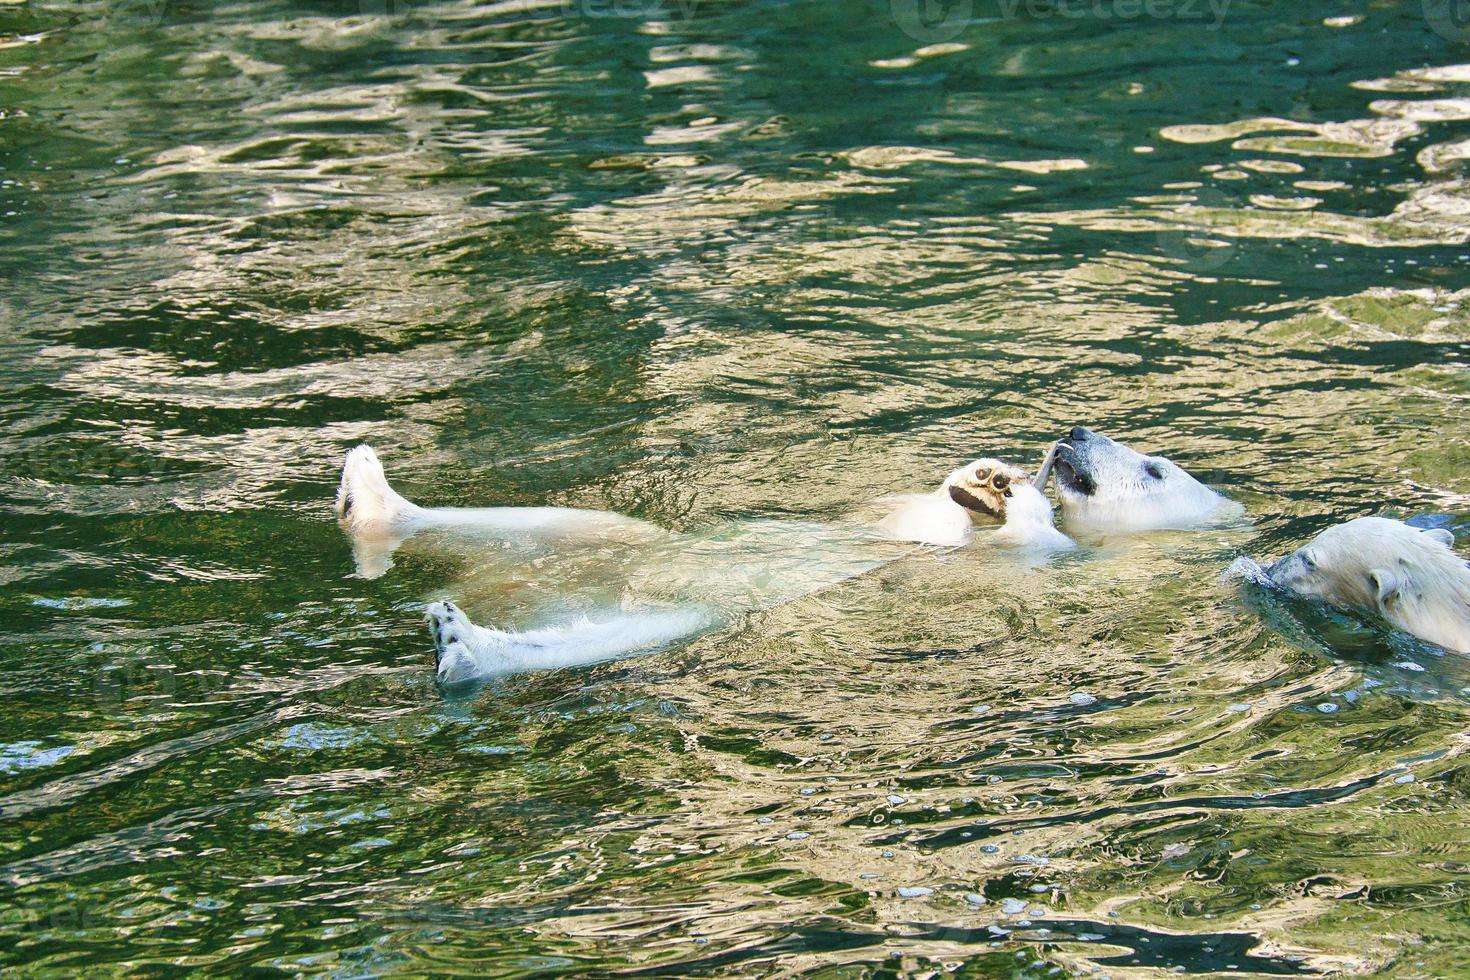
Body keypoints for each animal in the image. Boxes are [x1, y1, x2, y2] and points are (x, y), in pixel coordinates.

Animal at [336, 443, 1070, 681]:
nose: (993, 479)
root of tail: (500, 587)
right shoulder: (882, 514)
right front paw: (984, 479)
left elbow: (1034, 542)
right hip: (617, 544)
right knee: (560, 524)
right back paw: (369, 498)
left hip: (682, 605)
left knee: (619, 629)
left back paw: (463, 646)